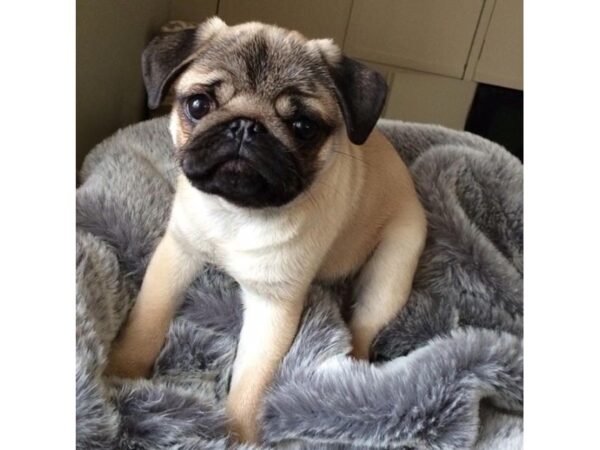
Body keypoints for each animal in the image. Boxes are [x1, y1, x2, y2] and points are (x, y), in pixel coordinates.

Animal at [106, 17, 426, 442]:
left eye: (303, 126)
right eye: (198, 105)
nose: (245, 126)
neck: (236, 214)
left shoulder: (273, 307)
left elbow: (250, 385)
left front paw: (238, 437)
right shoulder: (177, 253)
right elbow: (148, 318)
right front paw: (120, 374)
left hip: (390, 272)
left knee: (364, 327)